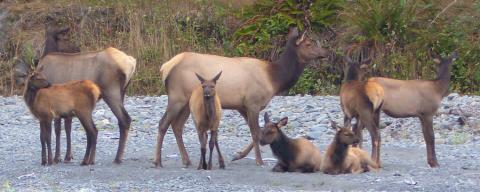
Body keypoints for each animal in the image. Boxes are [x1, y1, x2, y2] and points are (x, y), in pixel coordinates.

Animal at [156, 27, 328, 168]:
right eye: (308, 44)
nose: (324, 53)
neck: (274, 80)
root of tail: (165, 67)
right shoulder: (253, 102)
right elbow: (256, 132)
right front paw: (259, 161)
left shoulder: (242, 106)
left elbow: (258, 131)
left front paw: (238, 155)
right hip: (177, 97)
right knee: (163, 124)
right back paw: (158, 161)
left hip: (187, 102)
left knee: (177, 126)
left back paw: (186, 160)